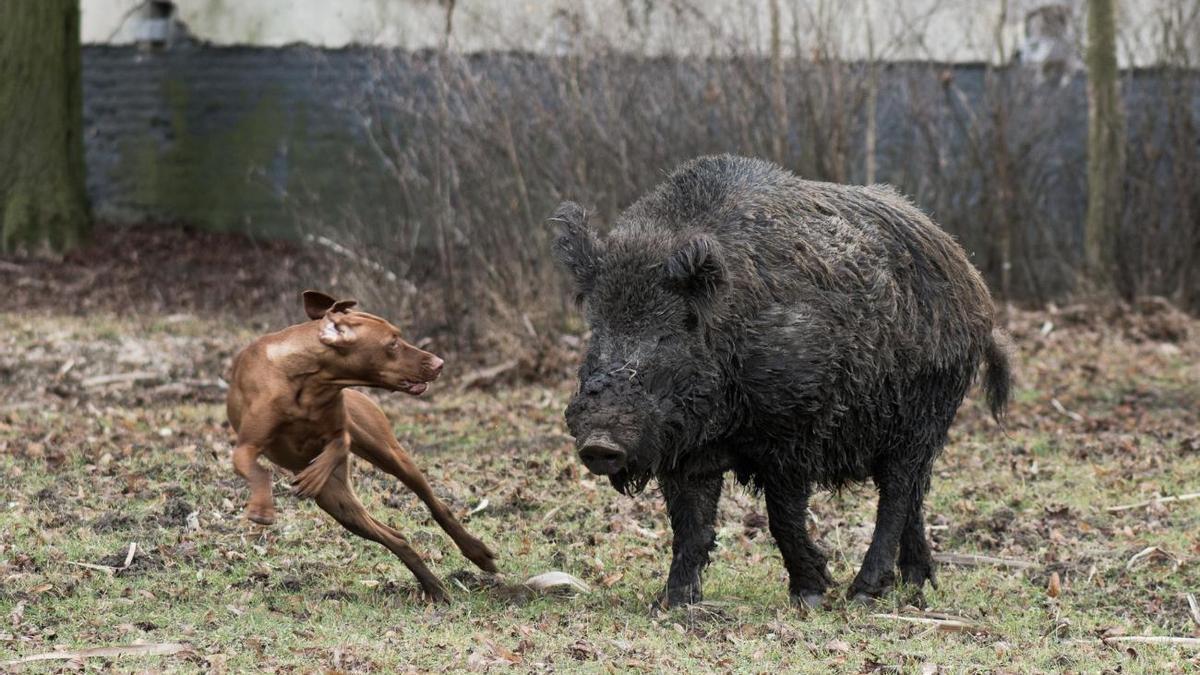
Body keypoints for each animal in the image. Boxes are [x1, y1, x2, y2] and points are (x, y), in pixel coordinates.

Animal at [226, 289, 494, 598]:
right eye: (392, 342)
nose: (439, 363)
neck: (308, 382)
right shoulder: (245, 447)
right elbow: (258, 469)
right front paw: (261, 509)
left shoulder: (341, 429)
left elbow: (338, 443)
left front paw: (313, 474)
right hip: (338, 503)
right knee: (394, 537)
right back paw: (433, 588)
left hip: (390, 455)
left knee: (436, 505)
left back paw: (477, 554)